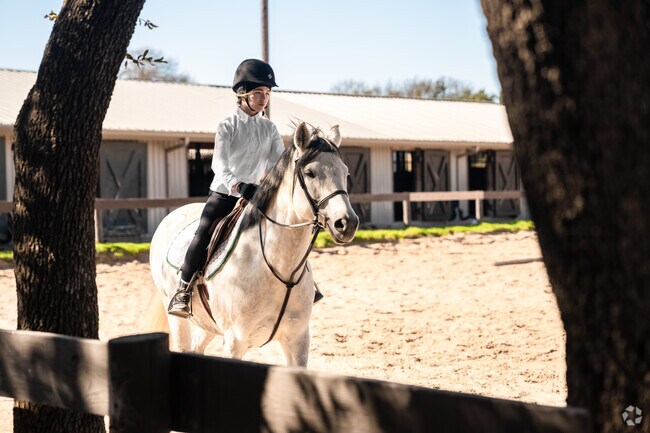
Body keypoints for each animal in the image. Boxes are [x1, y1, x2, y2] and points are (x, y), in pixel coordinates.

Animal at [149, 122, 359, 367]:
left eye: (345, 172)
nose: (347, 223)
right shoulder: (235, 342)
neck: (278, 270)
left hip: (206, 324)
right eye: (310, 173)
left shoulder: (298, 339)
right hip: (177, 315)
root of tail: (172, 215)